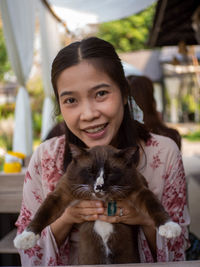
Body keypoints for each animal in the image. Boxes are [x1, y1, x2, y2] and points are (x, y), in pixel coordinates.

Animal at [13, 144, 180, 264]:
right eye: (91, 171)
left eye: (110, 172)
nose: (99, 186)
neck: (102, 200)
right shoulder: (61, 194)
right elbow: (42, 213)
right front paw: (25, 238)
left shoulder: (139, 190)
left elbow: (155, 207)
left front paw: (169, 227)